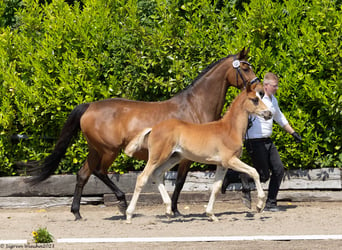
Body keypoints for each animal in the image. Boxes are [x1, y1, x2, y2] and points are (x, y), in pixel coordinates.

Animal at [124, 83, 272, 224]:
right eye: (255, 100)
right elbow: (254, 172)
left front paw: (211, 215)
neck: (230, 129)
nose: (269, 114)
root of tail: (153, 128)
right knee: (142, 178)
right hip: (157, 157)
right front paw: (259, 205)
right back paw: (129, 215)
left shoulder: (222, 164)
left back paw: (168, 210)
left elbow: (216, 187)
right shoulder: (230, 160)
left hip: (174, 157)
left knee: (157, 174)